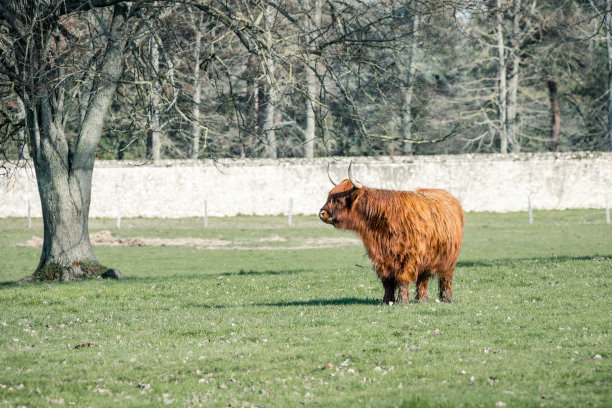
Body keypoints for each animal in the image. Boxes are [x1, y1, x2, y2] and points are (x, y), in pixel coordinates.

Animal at [320, 163, 464, 302]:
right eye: (328, 197)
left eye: (339, 200)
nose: (322, 213)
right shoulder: (382, 258)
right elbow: (387, 282)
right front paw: (387, 300)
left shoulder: (407, 256)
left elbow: (402, 279)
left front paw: (402, 300)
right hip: (428, 256)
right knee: (423, 278)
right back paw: (422, 299)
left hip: (448, 258)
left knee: (445, 278)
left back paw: (446, 298)